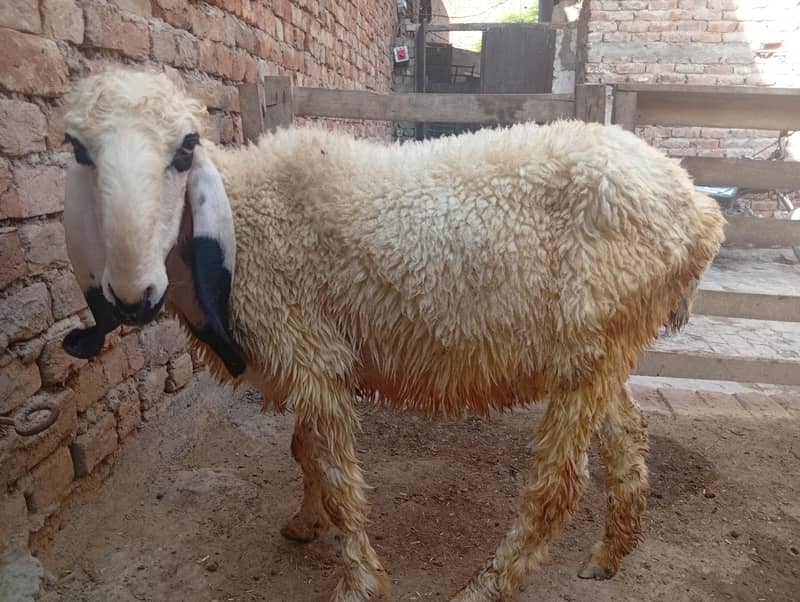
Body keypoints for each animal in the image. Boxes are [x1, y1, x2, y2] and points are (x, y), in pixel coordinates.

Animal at [60, 67, 725, 602]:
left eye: (185, 149)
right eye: (78, 149)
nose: (132, 295)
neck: (244, 222)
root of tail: (698, 207)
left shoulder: (308, 349)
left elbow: (336, 476)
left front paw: (356, 580)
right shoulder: (309, 357)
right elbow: (304, 452)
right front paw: (306, 523)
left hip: (592, 342)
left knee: (557, 487)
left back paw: (487, 585)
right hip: (606, 346)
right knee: (629, 441)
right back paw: (609, 555)